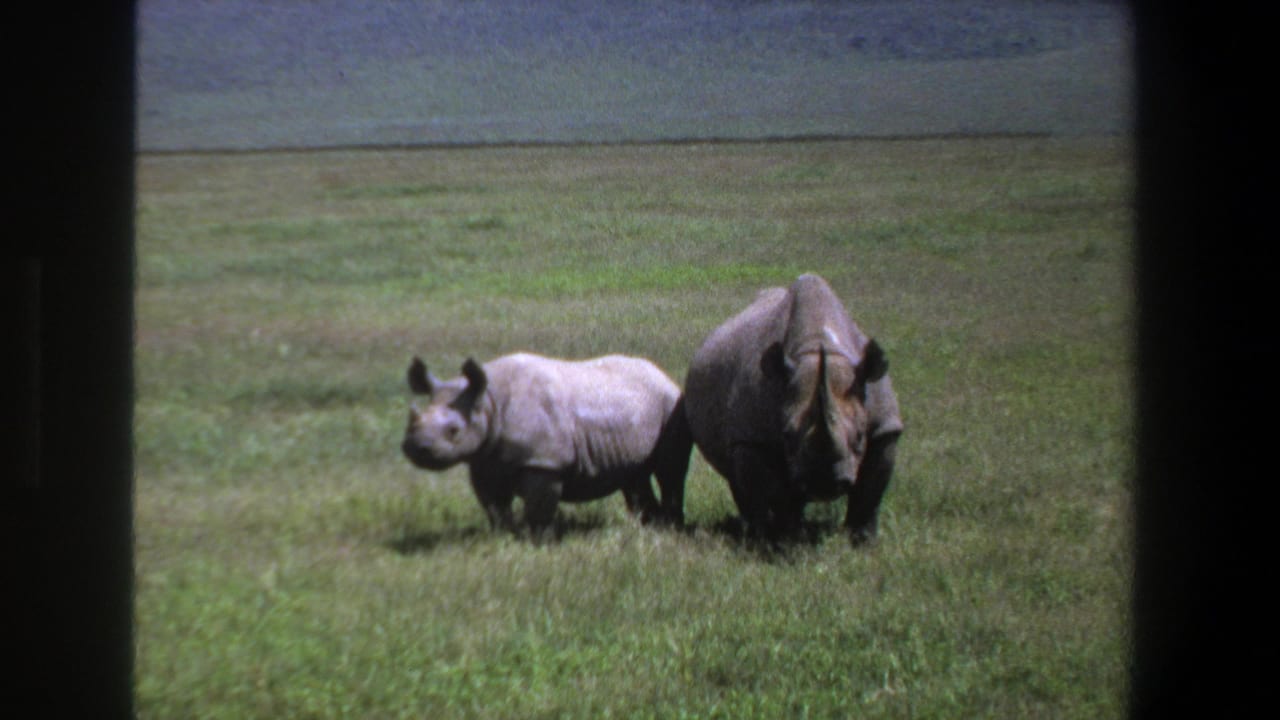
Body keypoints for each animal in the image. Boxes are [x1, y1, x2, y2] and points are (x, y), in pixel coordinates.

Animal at [401, 352, 691, 537]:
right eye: (413, 421)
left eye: (454, 431)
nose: (416, 448)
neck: (488, 402)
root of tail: (662, 373)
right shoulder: (484, 460)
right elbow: (494, 505)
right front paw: (503, 536)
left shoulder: (543, 461)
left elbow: (538, 507)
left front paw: (537, 541)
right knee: (634, 474)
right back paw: (647, 526)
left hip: (669, 403)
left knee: (670, 470)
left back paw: (670, 528)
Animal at [684, 274, 903, 544]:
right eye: (786, 436)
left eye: (861, 435)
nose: (823, 483)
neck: (817, 347)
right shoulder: (752, 437)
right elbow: (772, 492)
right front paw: (781, 541)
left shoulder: (885, 427)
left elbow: (870, 493)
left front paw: (862, 542)